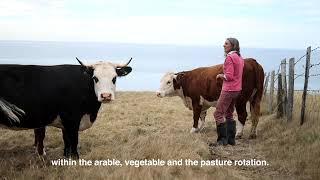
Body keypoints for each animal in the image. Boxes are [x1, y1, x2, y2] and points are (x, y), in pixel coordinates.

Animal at [0, 57, 132, 158]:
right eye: (95, 78)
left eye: (114, 78)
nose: (106, 96)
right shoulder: (72, 119)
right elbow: (73, 141)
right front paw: (75, 158)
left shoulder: (65, 123)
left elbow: (66, 141)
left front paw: (66, 157)